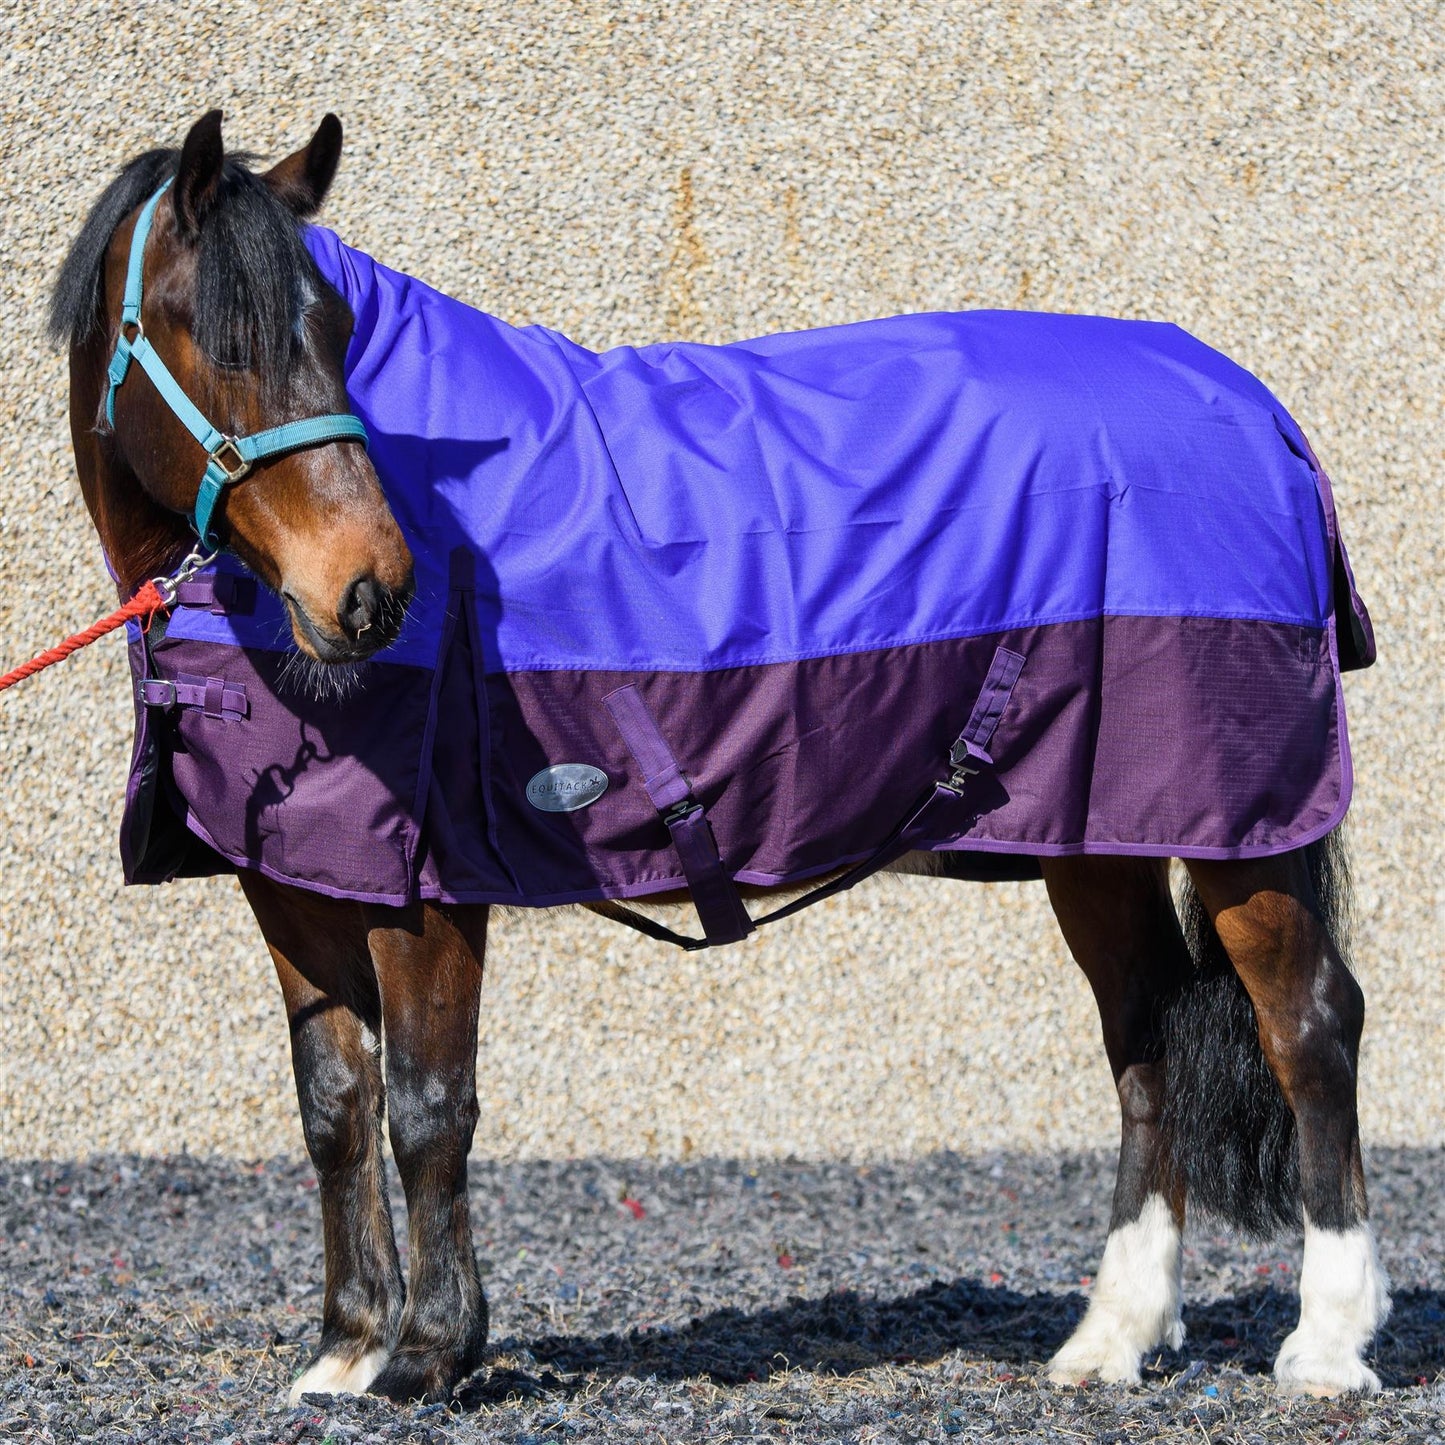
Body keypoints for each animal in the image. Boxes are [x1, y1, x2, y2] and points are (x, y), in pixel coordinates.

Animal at [47, 110, 1387, 1405]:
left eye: (332, 331)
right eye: (217, 338)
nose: (370, 592)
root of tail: (1260, 414)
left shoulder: (427, 890)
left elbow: (428, 1109)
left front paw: (427, 1355)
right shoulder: (296, 884)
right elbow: (335, 1107)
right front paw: (343, 1349)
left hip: (1239, 823)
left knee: (1307, 1023)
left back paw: (1325, 1344)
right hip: (1098, 837)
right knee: (1147, 1043)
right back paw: (1109, 1337)